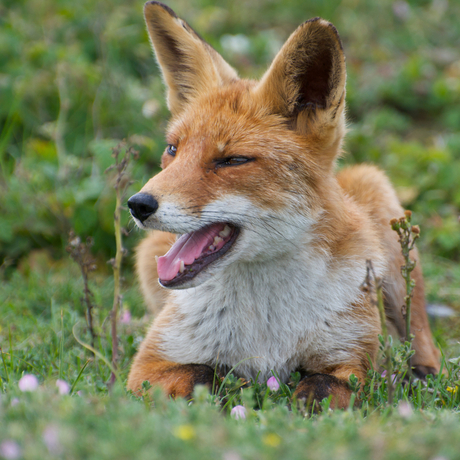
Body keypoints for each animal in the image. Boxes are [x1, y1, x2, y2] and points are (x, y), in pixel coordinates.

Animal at [126, 1, 438, 408]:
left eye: (233, 161)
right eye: (173, 150)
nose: (138, 204)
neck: (266, 323)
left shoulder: (353, 363)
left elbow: (320, 391)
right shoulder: (147, 367)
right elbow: (205, 374)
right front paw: (240, 389)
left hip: (385, 222)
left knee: (422, 339)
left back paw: (421, 375)